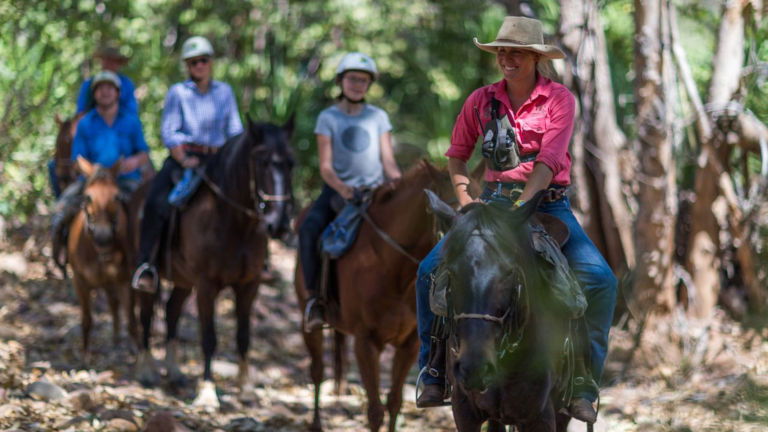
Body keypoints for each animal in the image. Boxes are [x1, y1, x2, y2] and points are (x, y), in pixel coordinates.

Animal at [67, 157, 138, 364]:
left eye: (116, 196)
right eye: (88, 197)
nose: (103, 235)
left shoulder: (124, 281)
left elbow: (131, 320)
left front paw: (138, 354)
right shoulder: (80, 281)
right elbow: (87, 320)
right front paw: (85, 355)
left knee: (116, 306)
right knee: (112, 304)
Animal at [134, 118, 294, 408]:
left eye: (291, 163)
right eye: (262, 161)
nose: (278, 224)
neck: (235, 224)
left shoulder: (249, 285)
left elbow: (243, 336)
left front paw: (246, 388)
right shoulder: (207, 286)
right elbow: (209, 337)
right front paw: (208, 393)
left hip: (184, 280)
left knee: (172, 310)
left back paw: (174, 372)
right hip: (146, 272)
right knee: (146, 315)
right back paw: (146, 370)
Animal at [294, 160, 453, 432]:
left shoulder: (409, 345)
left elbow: (394, 402)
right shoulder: (366, 343)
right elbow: (375, 411)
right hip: (309, 322)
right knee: (317, 370)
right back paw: (315, 423)